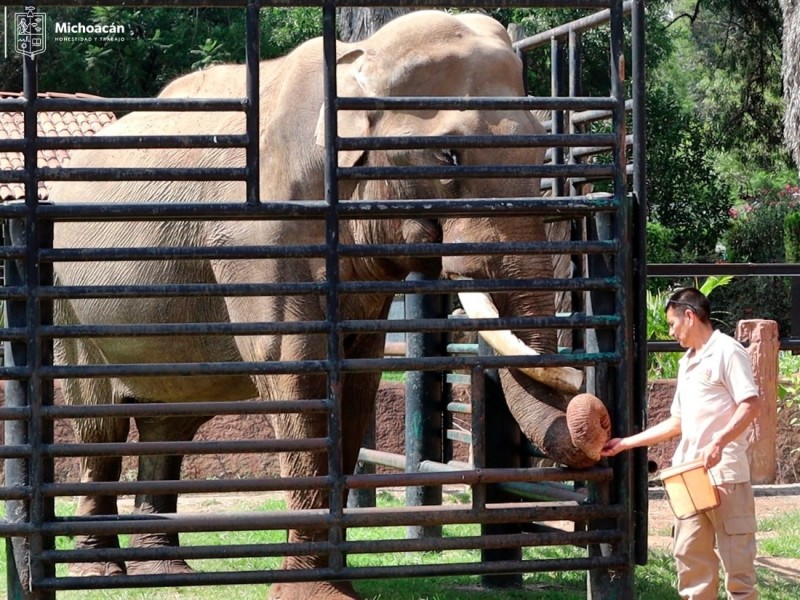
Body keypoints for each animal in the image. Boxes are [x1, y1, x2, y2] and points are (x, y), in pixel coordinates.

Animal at [48, 10, 612, 600]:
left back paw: (166, 571)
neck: (356, 62)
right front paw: (313, 591)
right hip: (68, 301)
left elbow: (358, 380)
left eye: (538, 152)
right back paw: (99, 571)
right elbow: (296, 374)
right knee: (99, 420)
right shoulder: (269, 232)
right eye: (449, 155)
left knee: (170, 418)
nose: (593, 409)